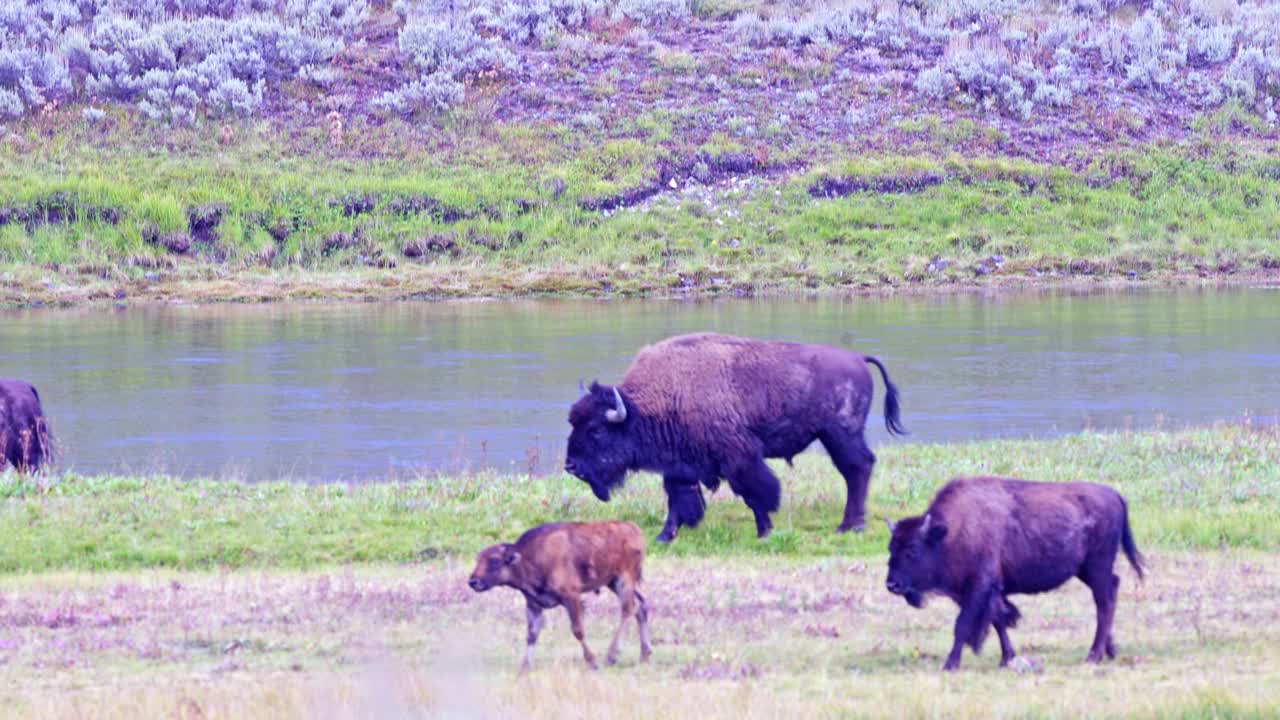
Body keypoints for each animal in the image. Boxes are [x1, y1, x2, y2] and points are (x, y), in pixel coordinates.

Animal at [468, 517, 650, 671]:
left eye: (494, 560)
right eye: (477, 559)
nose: (472, 581)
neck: (529, 557)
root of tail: (633, 528)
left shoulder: (571, 597)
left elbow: (578, 630)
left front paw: (593, 663)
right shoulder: (533, 604)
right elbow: (532, 635)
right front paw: (525, 668)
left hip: (623, 580)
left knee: (629, 608)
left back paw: (612, 656)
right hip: (613, 582)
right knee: (641, 605)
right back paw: (644, 656)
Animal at [565, 330, 906, 538]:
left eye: (595, 429)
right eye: (574, 424)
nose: (570, 465)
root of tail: (858, 357)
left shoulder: (739, 457)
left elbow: (756, 492)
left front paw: (764, 531)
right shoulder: (680, 465)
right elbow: (678, 499)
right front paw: (665, 535)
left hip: (840, 434)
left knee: (857, 468)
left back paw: (851, 526)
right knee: (857, 470)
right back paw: (850, 525)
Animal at [885, 474, 1146, 671]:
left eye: (912, 548)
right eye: (891, 547)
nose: (892, 585)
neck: (950, 533)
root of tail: (1115, 495)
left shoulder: (979, 587)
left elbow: (964, 625)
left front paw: (950, 665)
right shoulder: (981, 592)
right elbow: (998, 621)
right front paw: (1007, 659)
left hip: (1097, 567)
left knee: (1105, 603)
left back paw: (1093, 656)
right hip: (1086, 571)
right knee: (1110, 594)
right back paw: (1109, 651)